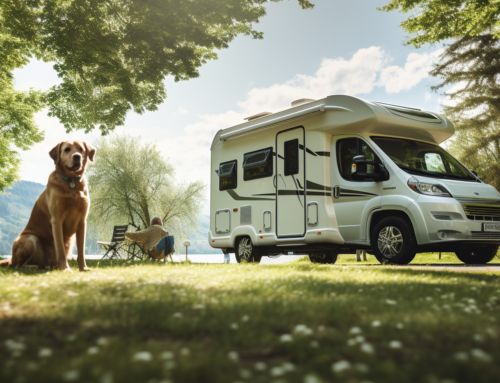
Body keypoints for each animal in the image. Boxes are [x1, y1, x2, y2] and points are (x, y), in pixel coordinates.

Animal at [11, 142, 95, 272]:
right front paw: (65, 268)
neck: (71, 183)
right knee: (18, 265)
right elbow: (60, 249)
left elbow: (81, 250)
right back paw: (32, 267)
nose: (77, 156)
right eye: (67, 150)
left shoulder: (82, 221)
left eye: (81, 149)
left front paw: (83, 268)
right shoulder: (57, 219)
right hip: (30, 239)